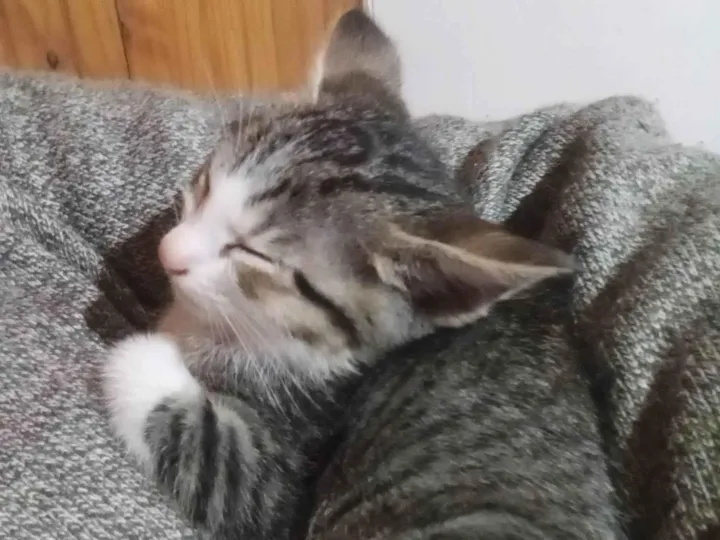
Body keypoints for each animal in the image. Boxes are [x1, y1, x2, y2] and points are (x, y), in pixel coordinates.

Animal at [103, 9, 620, 540]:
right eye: (206, 183)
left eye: (253, 254)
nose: (167, 252)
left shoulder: (286, 476)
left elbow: (222, 468)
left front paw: (148, 348)